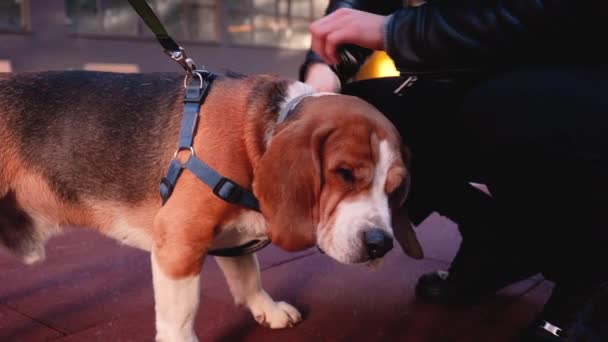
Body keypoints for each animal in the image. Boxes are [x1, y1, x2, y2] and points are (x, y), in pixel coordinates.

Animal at [0, 71, 422, 340]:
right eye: (344, 173)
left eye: (396, 190)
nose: (380, 244)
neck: (261, 131)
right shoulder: (179, 240)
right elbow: (180, 315)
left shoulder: (232, 239)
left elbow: (249, 276)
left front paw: (266, 308)